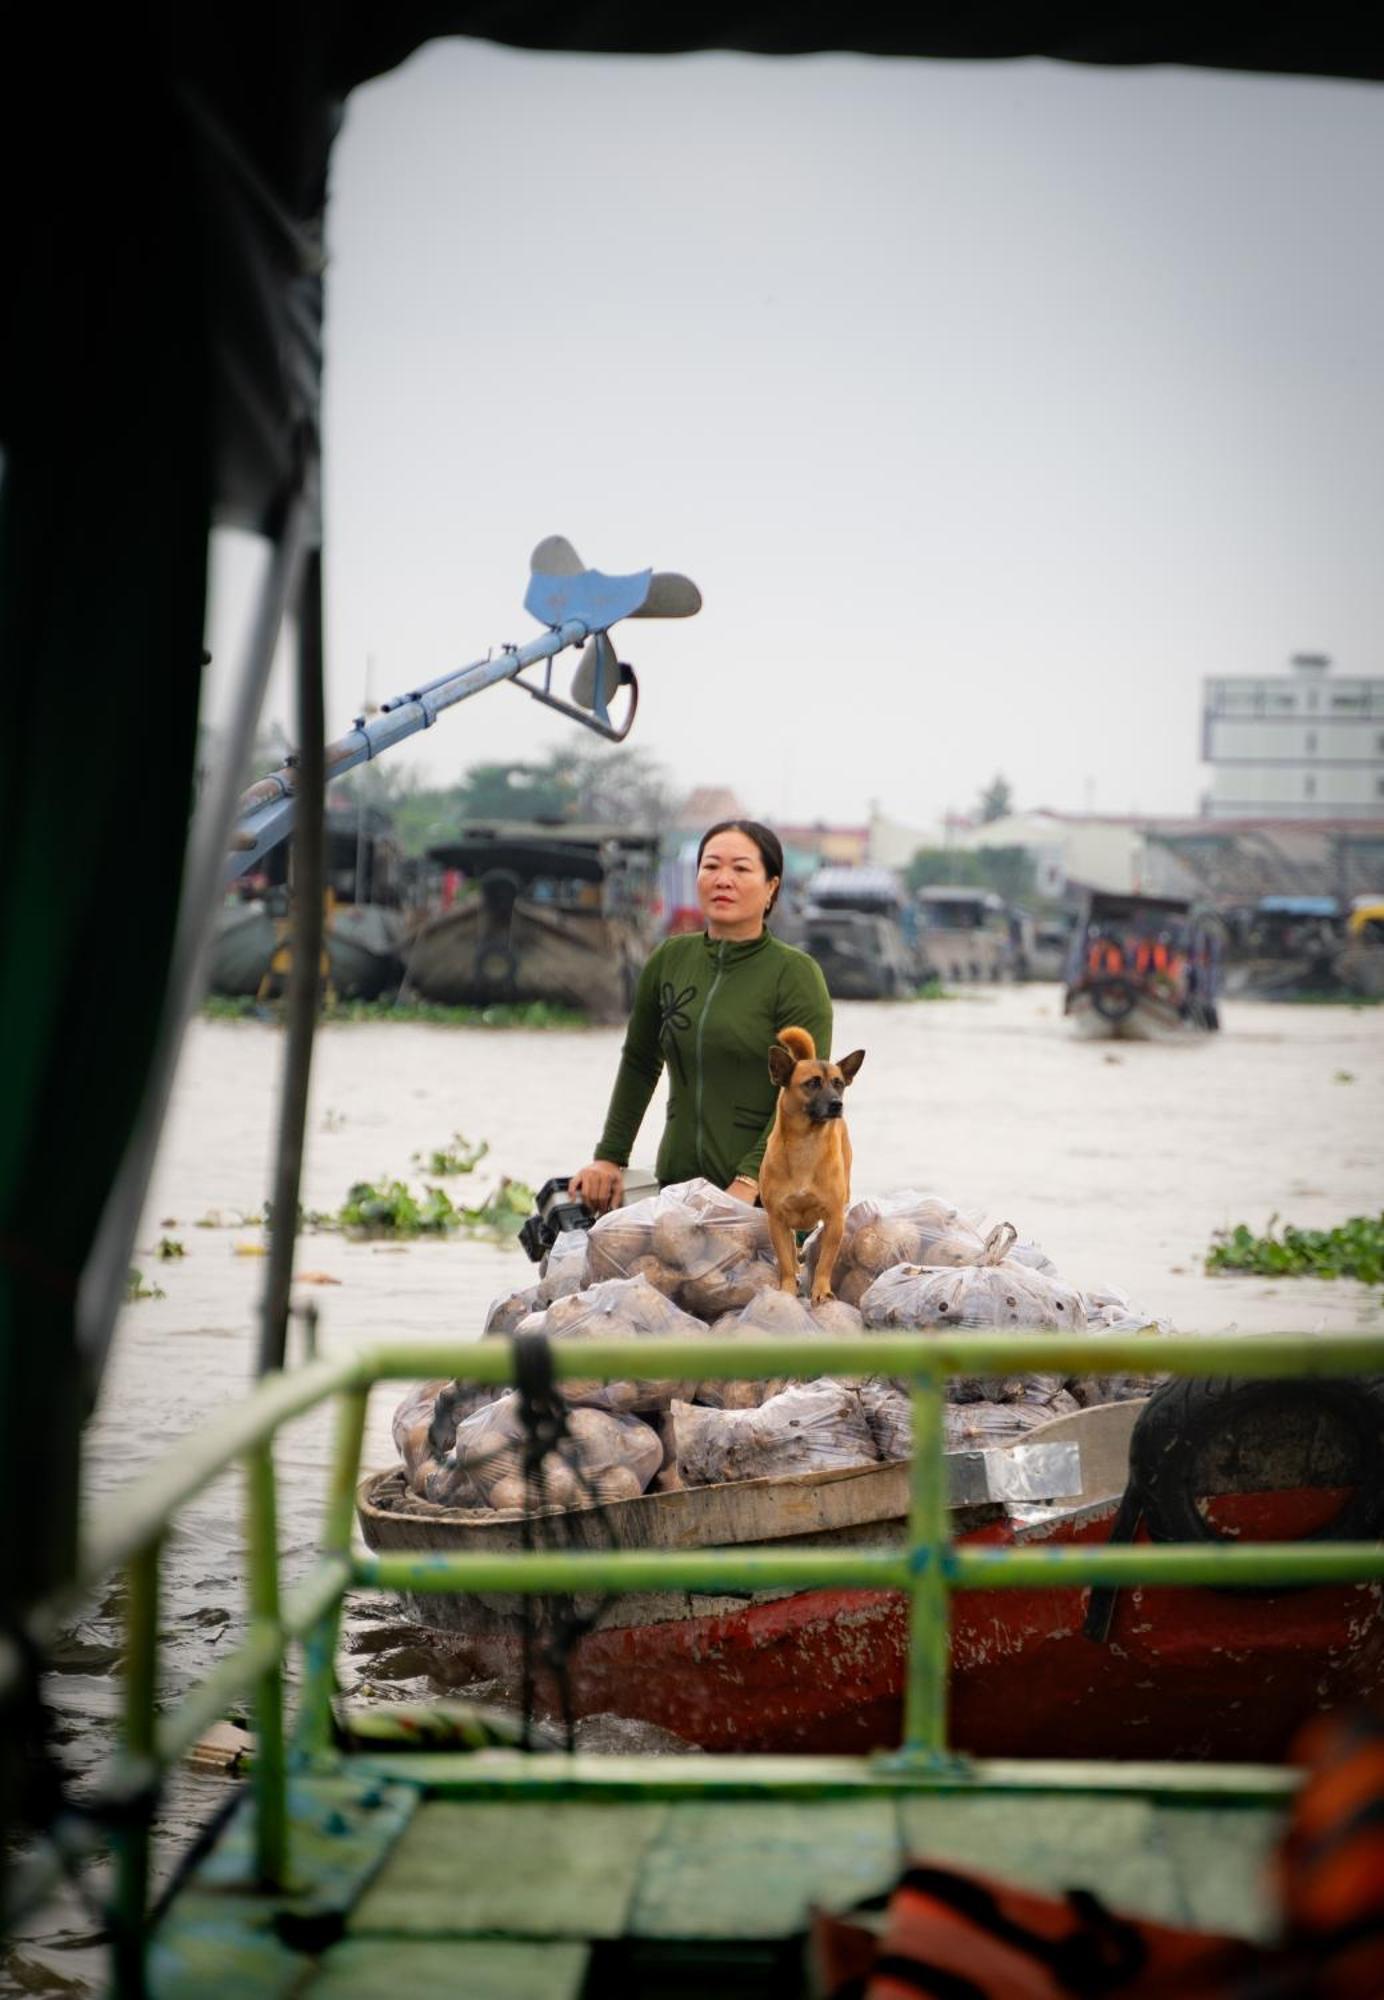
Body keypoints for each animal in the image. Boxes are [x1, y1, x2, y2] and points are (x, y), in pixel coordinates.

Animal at [756, 1024, 864, 1304]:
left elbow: (826, 1260)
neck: (807, 1143)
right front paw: (787, 1289)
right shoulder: (777, 1220)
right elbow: (785, 1259)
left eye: (839, 1083)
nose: (837, 1104)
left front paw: (821, 1290)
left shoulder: (835, 1219)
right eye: (812, 1083)